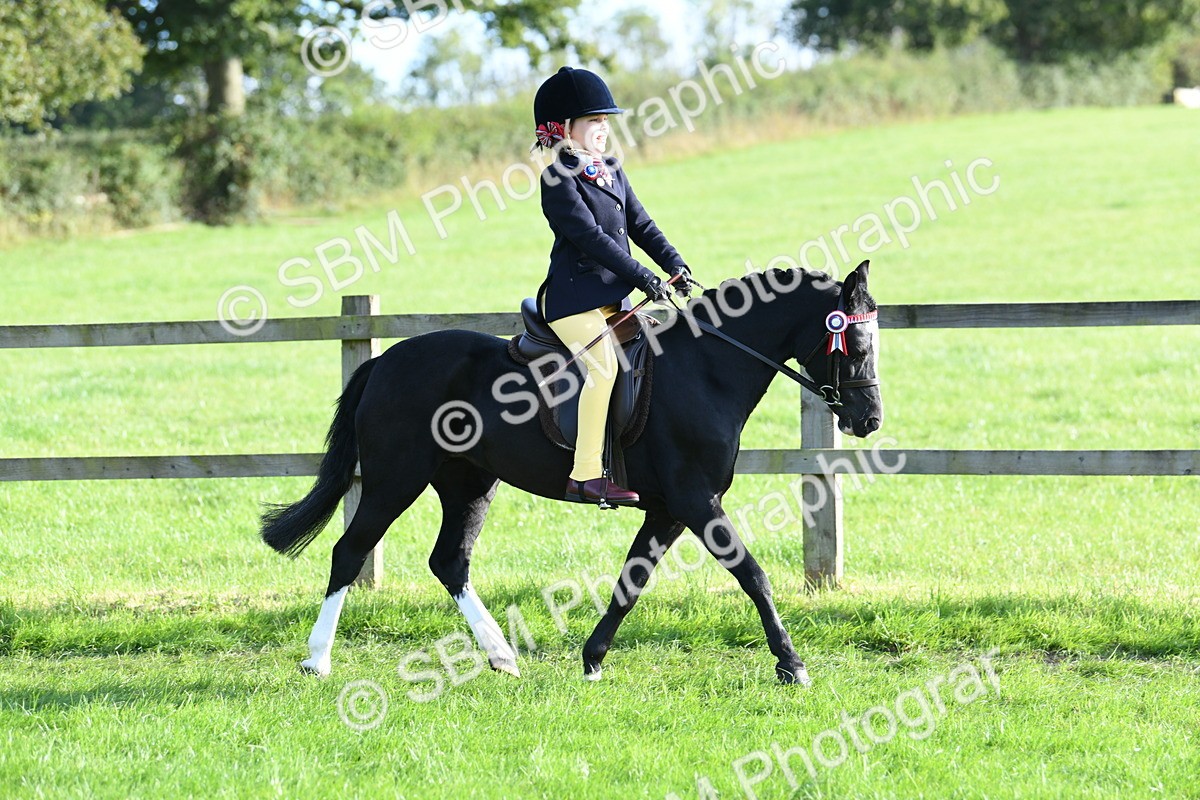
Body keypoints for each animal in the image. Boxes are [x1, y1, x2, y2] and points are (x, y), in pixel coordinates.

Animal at [260, 260, 882, 685]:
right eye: (852, 344)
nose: (868, 419)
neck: (707, 368)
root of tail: (385, 360)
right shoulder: (696, 500)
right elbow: (752, 575)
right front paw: (792, 665)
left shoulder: (668, 509)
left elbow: (631, 582)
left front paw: (592, 659)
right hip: (396, 479)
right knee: (350, 551)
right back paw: (317, 659)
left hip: (468, 483)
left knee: (450, 561)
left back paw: (501, 656)